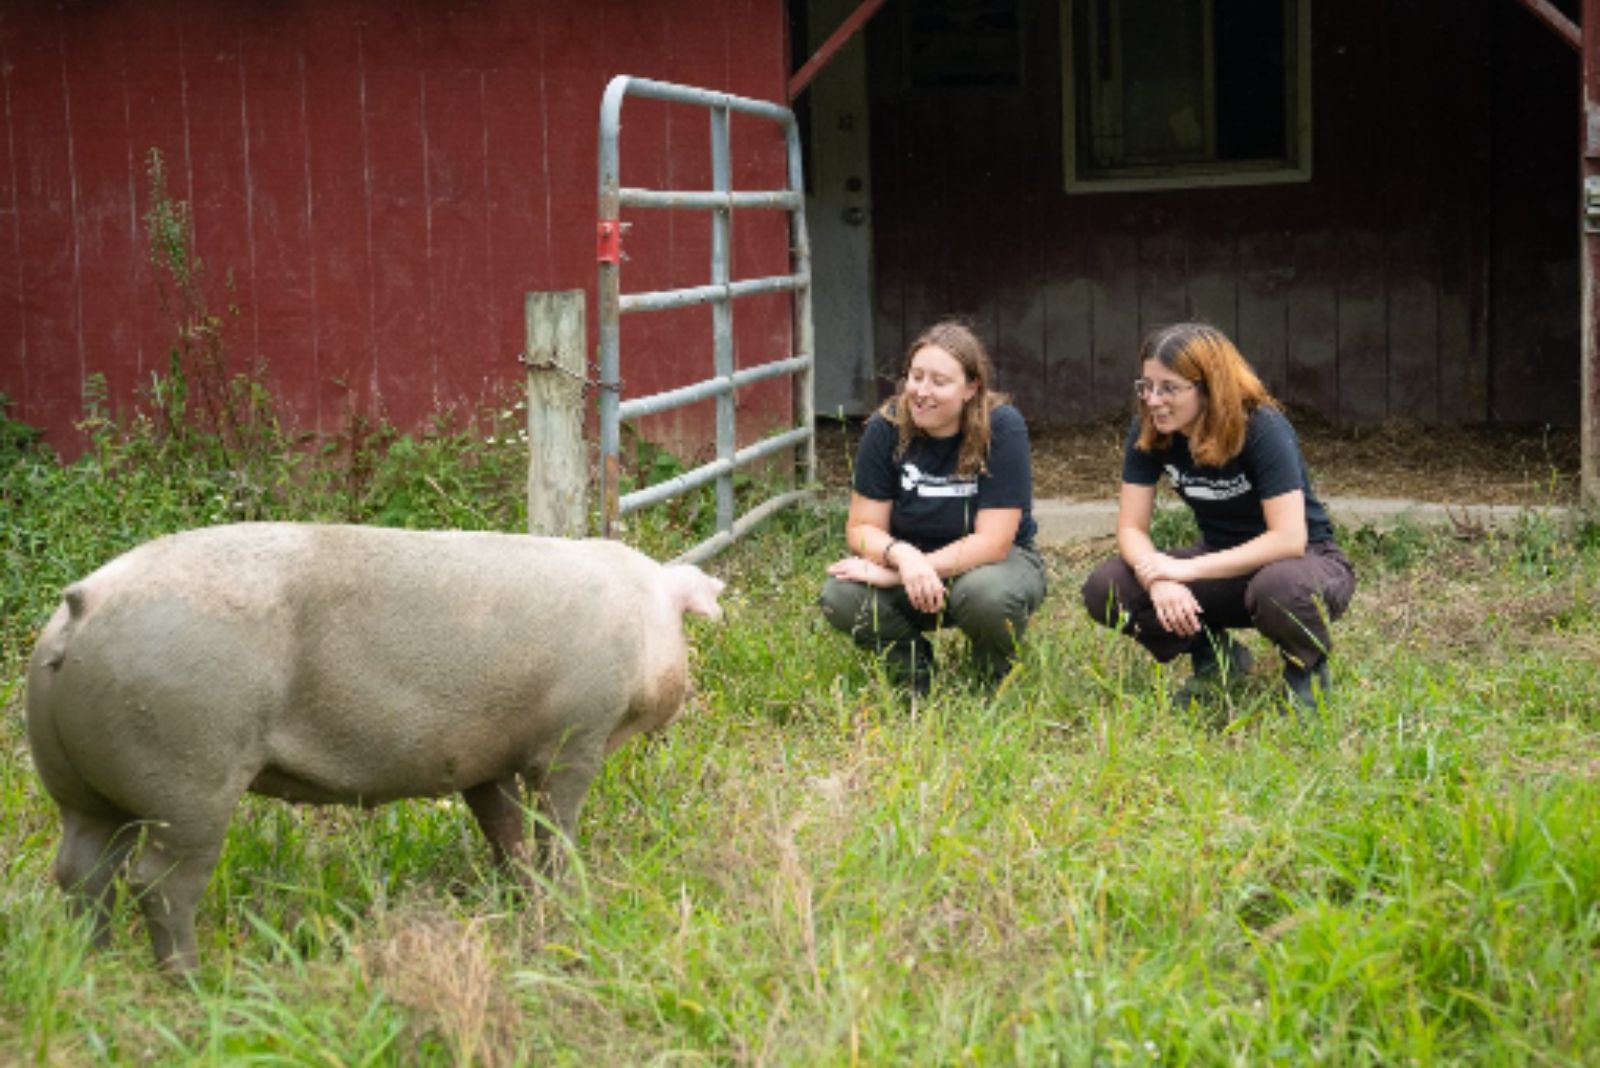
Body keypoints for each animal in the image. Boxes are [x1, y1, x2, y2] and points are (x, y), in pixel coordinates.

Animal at [23, 521, 726, 972]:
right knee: (158, 881)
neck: (639, 622)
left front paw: (518, 893)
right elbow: (556, 822)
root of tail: (82, 607)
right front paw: (567, 896)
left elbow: (501, 825)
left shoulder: (481, 757)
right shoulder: (574, 735)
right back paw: (193, 983)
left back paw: (95, 967)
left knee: (81, 870)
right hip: (190, 767)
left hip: (78, 783)